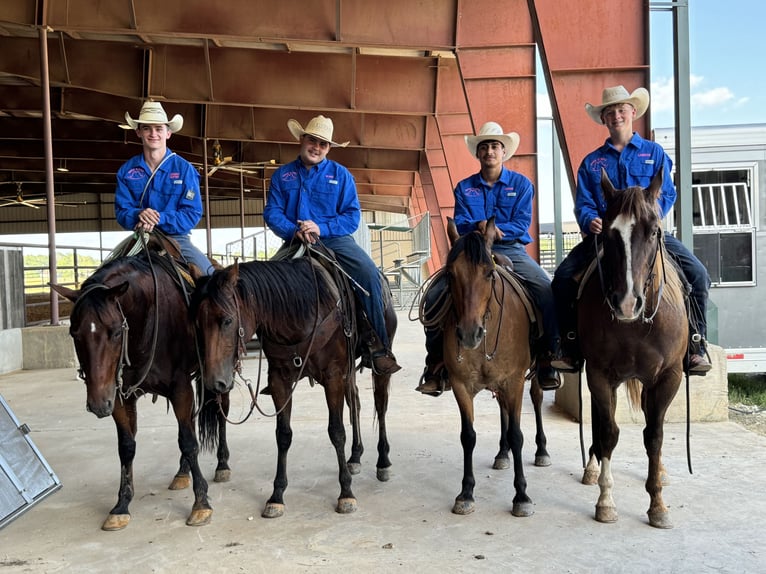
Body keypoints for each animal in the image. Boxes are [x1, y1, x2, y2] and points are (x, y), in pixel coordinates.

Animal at [50, 245, 231, 532]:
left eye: (115, 332)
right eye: (75, 334)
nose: (97, 404)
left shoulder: (180, 387)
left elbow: (188, 441)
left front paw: (201, 504)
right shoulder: (119, 395)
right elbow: (127, 446)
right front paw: (121, 505)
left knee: (220, 413)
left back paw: (222, 465)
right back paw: (182, 473)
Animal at [189, 254, 400, 520]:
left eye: (227, 320)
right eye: (196, 323)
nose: (213, 382)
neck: (300, 312)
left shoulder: (332, 377)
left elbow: (336, 431)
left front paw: (346, 493)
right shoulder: (280, 381)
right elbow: (283, 435)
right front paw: (276, 495)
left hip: (377, 365)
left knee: (380, 407)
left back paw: (383, 462)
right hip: (349, 371)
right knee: (356, 404)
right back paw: (355, 456)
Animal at [436, 218, 548, 520]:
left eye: (488, 274)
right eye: (451, 273)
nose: (469, 334)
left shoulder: (515, 381)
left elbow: (518, 435)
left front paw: (521, 496)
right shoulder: (461, 385)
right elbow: (468, 436)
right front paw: (466, 493)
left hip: (531, 378)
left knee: (536, 400)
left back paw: (541, 451)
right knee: (503, 410)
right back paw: (502, 453)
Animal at [576, 170, 688, 532]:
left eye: (653, 231)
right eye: (608, 233)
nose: (626, 303)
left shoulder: (668, 377)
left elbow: (654, 436)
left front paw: (658, 506)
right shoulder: (599, 374)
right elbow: (609, 432)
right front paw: (605, 501)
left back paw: (661, 473)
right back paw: (592, 466)